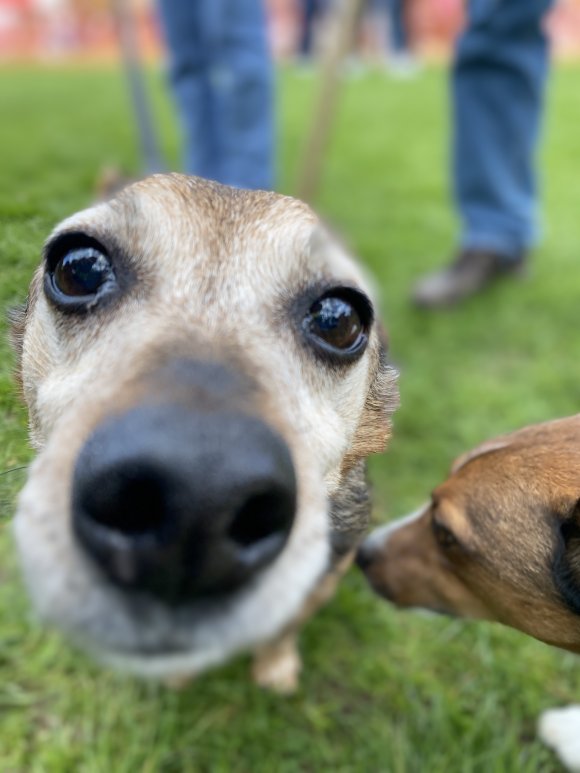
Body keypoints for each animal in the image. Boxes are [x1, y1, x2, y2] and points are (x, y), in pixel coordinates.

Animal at [10, 173, 398, 688]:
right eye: (80, 270)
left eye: (341, 319)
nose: (198, 503)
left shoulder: (328, 570)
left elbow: (286, 624)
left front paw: (275, 668)